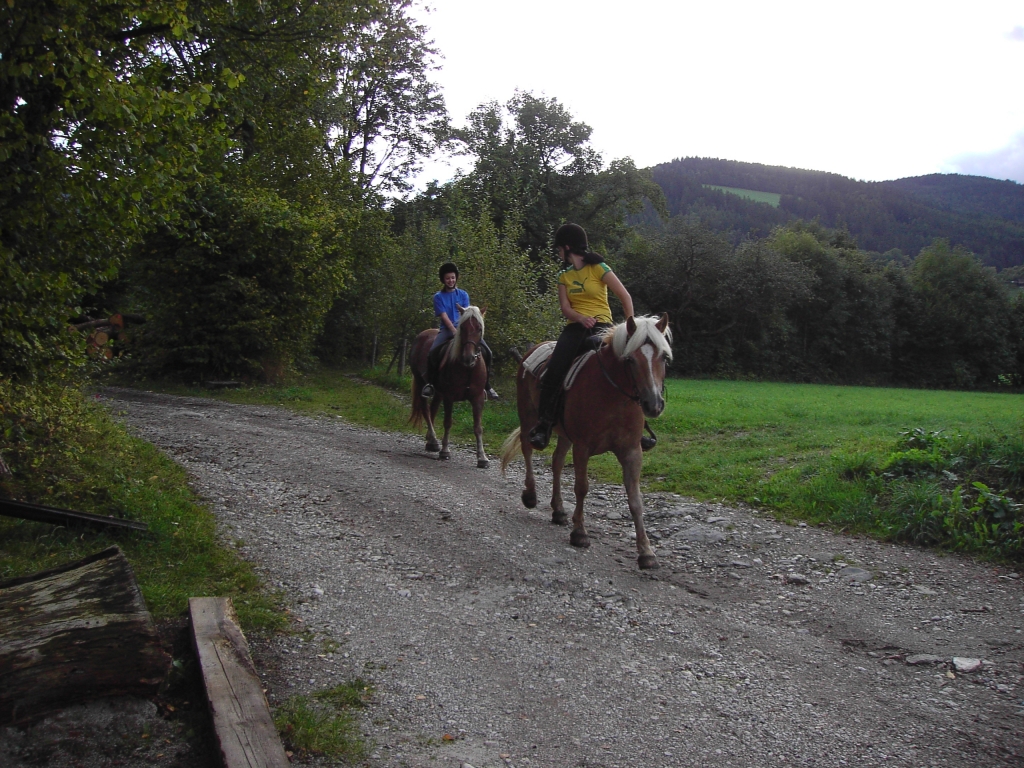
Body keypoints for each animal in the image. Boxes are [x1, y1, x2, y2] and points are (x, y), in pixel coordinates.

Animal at [410, 305, 490, 468]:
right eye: (463, 328)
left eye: (479, 328)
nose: (468, 358)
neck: (468, 369)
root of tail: (422, 334)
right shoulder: (449, 397)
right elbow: (448, 423)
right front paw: (445, 451)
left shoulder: (477, 398)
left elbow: (478, 428)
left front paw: (482, 458)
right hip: (421, 383)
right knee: (426, 409)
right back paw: (434, 441)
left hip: (439, 392)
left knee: (433, 409)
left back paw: (430, 441)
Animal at [500, 314, 672, 569]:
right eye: (630, 359)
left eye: (663, 357)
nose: (653, 404)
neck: (613, 395)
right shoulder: (583, 447)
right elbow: (581, 487)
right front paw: (579, 533)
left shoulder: (632, 452)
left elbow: (635, 500)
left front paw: (646, 552)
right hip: (528, 414)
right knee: (527, 448)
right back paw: (530, 495)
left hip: (564, 434)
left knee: (557, 462)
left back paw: (559, 510)